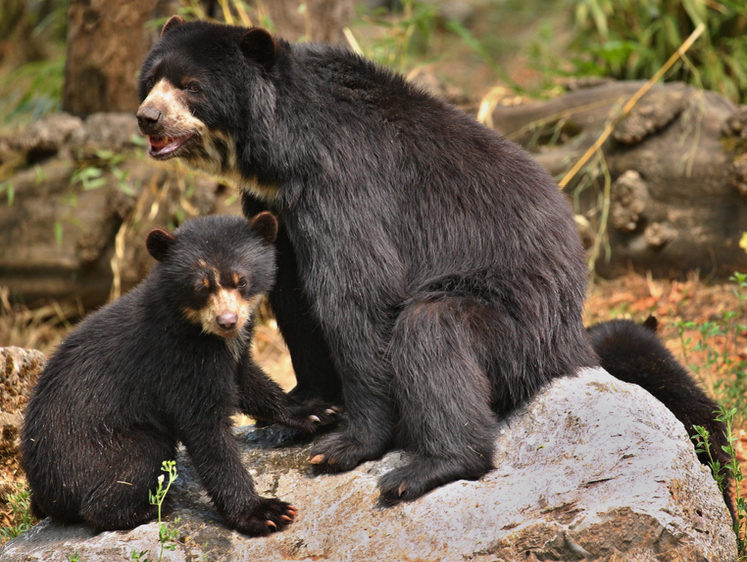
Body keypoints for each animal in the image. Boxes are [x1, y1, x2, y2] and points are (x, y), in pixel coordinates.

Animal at [21, 212, 336, 532]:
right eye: (201, 287)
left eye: (242, 281)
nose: (228, 321)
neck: (204, 334)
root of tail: (44, 491)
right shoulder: (177, 361)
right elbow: (207, 432)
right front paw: (266, 512)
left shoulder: (228, 356)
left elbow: (249, 382)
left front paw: (317, 412)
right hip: (101, 447)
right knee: (129, 469)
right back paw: (148, 508)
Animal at [137, 17, 600, 500]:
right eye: (151, 82)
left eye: (192, 86)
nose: (147, 118)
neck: (281, 153)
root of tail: (574, 338)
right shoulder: (275, 205)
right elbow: (293, 298)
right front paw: (305, 410)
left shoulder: (344, 182)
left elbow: (357, 293)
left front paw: (346, 446)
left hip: (518, 322)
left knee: (433, 331)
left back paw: (429, 466)